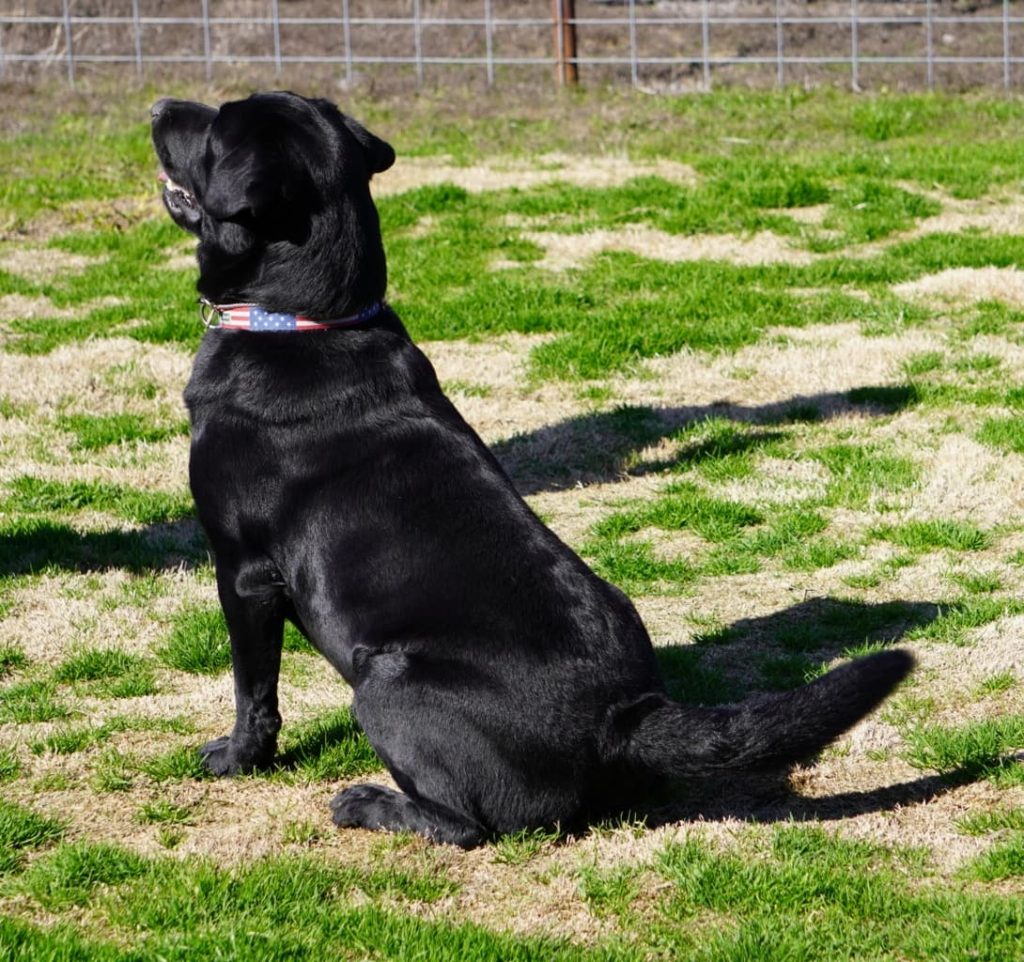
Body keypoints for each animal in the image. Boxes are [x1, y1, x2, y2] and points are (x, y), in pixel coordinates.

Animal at [149, 94, 913, 848]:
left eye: (217, 128)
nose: (158, 105)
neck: (304, 319)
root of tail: (622, 718)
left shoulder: (243, 572)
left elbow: (254, 691)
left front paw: (236, 759)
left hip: (387, 678)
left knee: (467, 824)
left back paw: (370, 803)